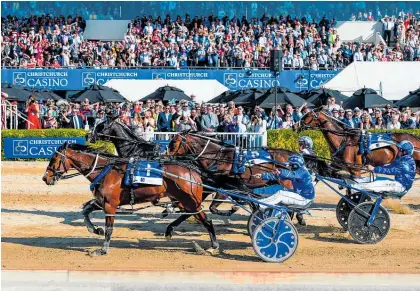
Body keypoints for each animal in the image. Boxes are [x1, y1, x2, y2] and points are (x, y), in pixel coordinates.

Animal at [41, 143, 220, 256]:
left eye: (54, 159)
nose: (45, 178)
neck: (105, 171)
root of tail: (193, 171)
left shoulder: (110, 205)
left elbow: (109, 229)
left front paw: (103, 249)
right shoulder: (101, 202)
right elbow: (85, 211)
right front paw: (95, 230)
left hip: (190, 201)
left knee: (206, 221)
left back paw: (213, 246)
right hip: (183, 201)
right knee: (189, 215)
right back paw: (170, 230)